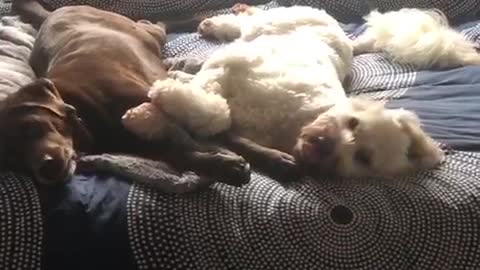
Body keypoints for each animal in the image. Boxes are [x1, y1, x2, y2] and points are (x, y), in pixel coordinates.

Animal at [0, 0, 251, 186]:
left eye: (33, 128)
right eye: (14, 160)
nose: (45, 170)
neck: (81, 109)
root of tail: (54, 13)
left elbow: (231, 137)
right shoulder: (138, 142)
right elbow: (178, 153)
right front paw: (225, 167)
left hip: (146, 32)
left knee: (157, 22)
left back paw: (203, 20)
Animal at [122, 4, 444, 179]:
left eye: (363, 157)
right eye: (353, 122)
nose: (325, 146)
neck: (294, 123)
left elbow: (217, 116)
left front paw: (159, 105)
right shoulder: (230, 66)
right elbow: (217, 111)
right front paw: (152, 111)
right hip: (270, 24)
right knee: (250, 19)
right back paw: (221, 20)